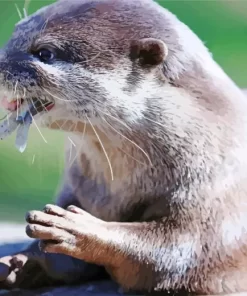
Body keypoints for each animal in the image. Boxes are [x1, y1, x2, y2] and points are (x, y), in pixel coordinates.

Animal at [0, 0, 247, 294]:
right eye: (14, 36)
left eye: (45, 53)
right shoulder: (75, 184)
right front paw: (19, 262)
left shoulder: (214, 194)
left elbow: (173, 252)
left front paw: (76, 228)